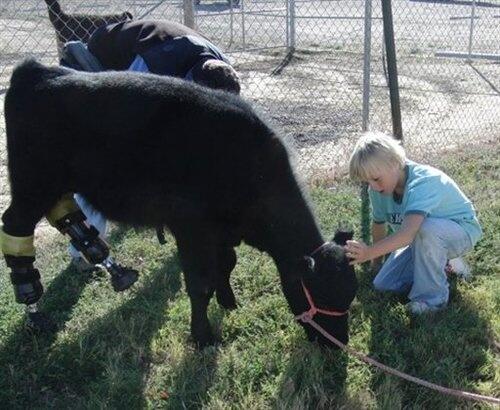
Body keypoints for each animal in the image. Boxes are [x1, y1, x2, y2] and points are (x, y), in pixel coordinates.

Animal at [1, 60, 358, 348]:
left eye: (350, 296)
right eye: (321, 294)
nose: (336, 345)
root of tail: (36, 70)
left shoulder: (221, 234)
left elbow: (225, 266)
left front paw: (229, 302)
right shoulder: (191, 228)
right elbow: (200, 284)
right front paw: (203, 337)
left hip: (56, 187)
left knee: (66, 218)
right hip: (31, 186)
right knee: (15, 227)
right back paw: (33, 307)